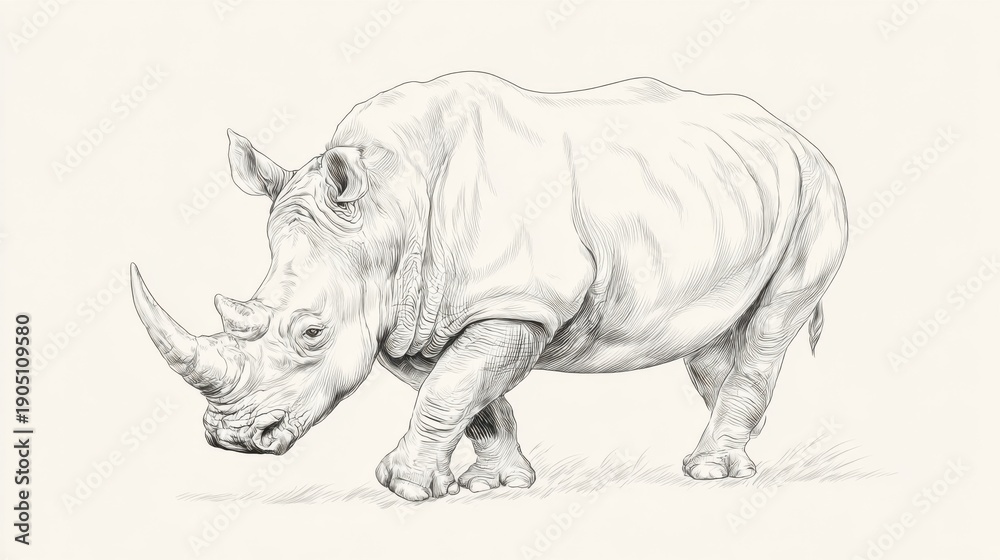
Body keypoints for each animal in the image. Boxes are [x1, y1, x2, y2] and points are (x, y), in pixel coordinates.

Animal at [131, 72, 848, 501]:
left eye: (311, 332)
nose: (230, 439)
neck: (387, 208)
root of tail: (791, 131)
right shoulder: (412, 317)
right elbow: (465, 393)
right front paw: (495, 484)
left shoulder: (519, 303)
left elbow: (450, 389)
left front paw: (404, 488)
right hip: (730, 195)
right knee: (713, 338)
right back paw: (741, 453)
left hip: (818, 189)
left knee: (772, 325)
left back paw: (710, 471)